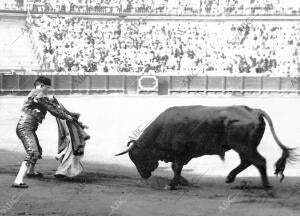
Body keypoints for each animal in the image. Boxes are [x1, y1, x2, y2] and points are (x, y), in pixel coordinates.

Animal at [115, 105, 296, 190]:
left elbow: (176, 167)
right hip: (243, 147)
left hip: (243, 146)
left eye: (137, 157)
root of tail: (254, 111)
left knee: (259, 161)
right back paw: (230, 178)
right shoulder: (182, 155)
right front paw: (183, 182)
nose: (144, 176)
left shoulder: (180, 152)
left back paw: (265, 186)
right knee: (248, 161)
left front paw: (172, 185)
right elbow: (176, 168)